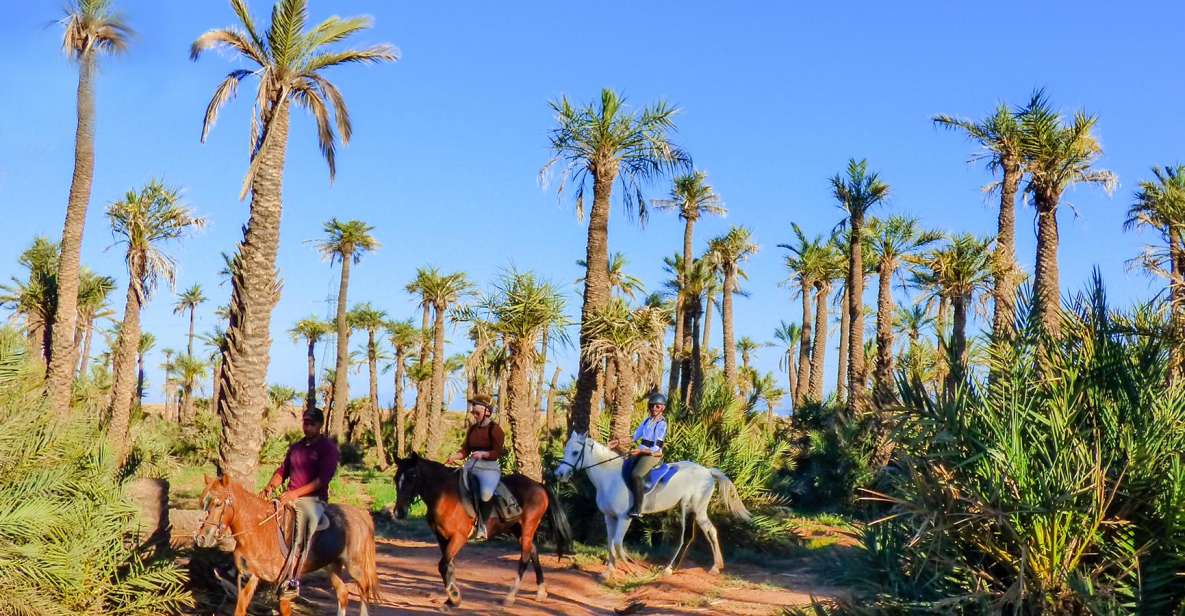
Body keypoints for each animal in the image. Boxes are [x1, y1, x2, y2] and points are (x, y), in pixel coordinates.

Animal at [194, 476, 379, 616]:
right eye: (202, 502)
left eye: (218, 504)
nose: (201, 538)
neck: (258, 530)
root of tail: (361, 515)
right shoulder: (250, 576)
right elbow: (240, 608)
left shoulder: (284, 585)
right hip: (332, 566)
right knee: (343, 594)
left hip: (355, 566)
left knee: (364, 591)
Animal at [391, 454, 571, 606]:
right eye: (395, 478)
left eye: (412, 476)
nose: (399, 512)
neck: (444, 494)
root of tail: (538, 485)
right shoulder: (442, 538)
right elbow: (449, 566)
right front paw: (451, 599)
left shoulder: (459, 537)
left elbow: (443, 566)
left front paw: (454, 596)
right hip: (517, 529)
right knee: (533, 551)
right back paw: (540, 592)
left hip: (528, 526)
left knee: (525, 557)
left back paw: (510, 596)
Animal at [552, 433, 748, 578]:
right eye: (566, 449)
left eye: (575, 452)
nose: (559, 474)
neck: (609, 478)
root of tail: (707, 471)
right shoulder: (609, 518)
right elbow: (610, 544)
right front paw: (609, 572)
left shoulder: (624, 518)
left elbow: (618, 545)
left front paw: (633, 571)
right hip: (696, 511)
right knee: (710, 531)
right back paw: (715, 566)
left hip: (691, 508)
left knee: (687, 537)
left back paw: (669, 568)